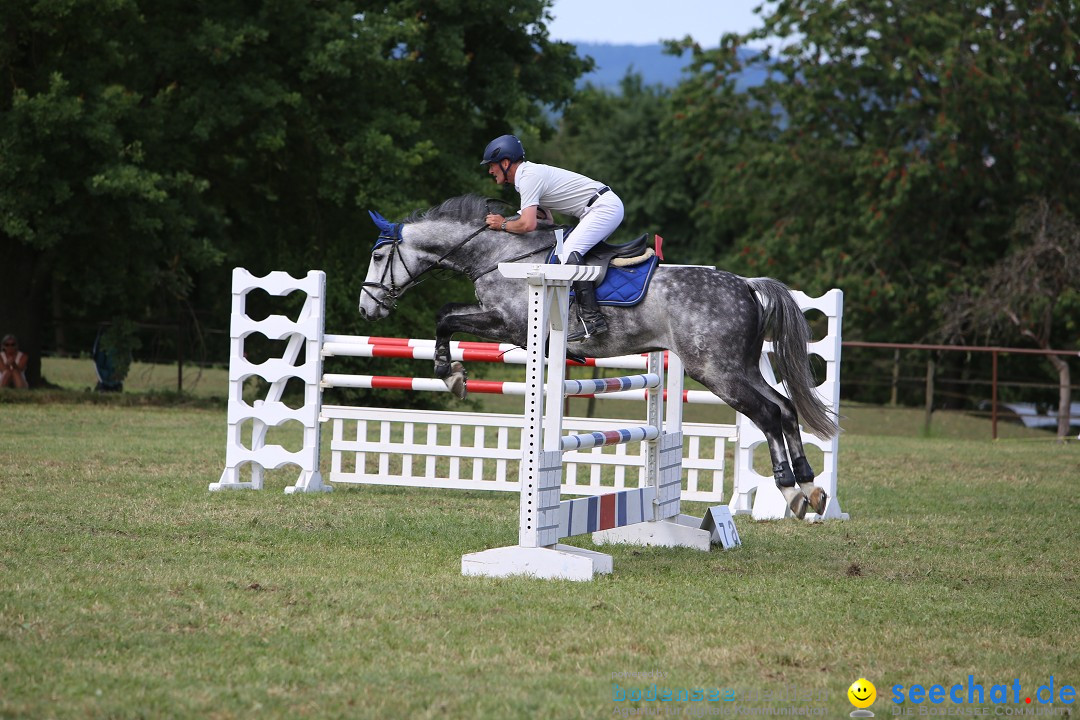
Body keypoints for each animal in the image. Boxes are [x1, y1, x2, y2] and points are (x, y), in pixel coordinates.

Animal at [358, 194, 838, 518]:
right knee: (785, 407)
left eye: (379, 255)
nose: (367, 309)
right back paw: (810, 489)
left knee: (768, 413)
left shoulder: (508, 324)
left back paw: (792, 492)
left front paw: (449, 372)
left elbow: (444, 317)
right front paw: (452, 371)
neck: (499, 255)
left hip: (717, 372)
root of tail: (748, 287)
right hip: (740, 368)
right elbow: (447, 314)